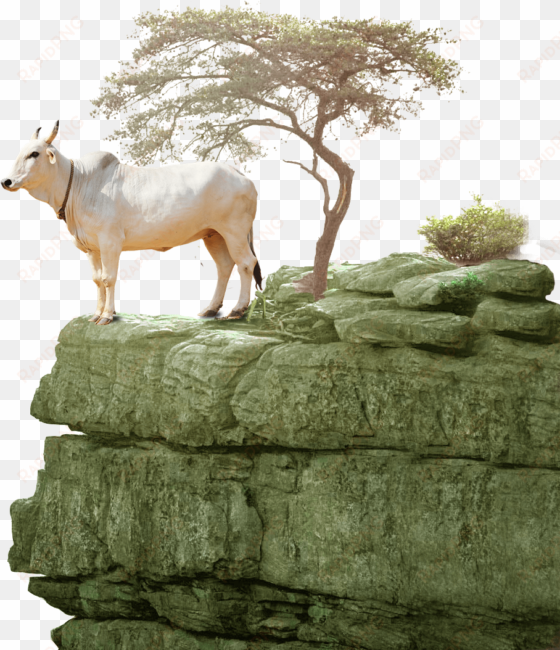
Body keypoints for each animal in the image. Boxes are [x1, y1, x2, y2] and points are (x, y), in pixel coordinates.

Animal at [1, 120, 263, 324]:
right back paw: (210, 309)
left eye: (34, 154)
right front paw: (96, 314)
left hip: (234, 230)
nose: (7, 181)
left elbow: (108, 278)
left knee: (246, 263)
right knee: (224, 266)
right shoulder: (92, 248)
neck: (79, 184)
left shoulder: (110, 242)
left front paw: (107, 316)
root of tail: (239, 174)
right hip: (214, 234)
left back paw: (238, 309)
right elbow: (97, 279)